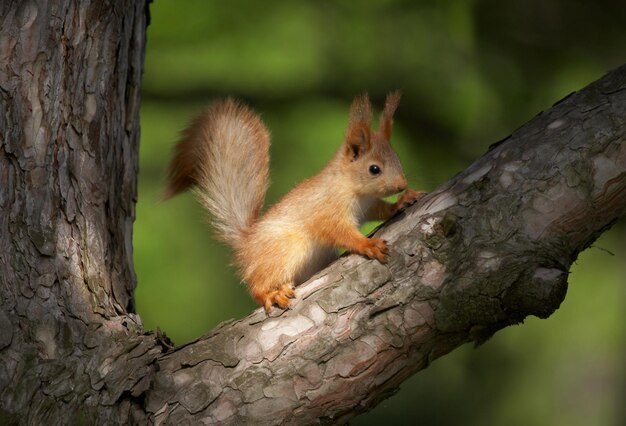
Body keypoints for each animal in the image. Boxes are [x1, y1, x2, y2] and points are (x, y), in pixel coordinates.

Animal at [163, 92, 422, 312]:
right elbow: (340, 232)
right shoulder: (327, 210)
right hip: (289, 247)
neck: (353, 189)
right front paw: (367, 244)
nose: (401, 184)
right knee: (256, 284)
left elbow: (381, 209)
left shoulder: (369, 205)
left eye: (397, 158)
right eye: (374, 169)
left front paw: (402, 201)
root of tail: (247, 245)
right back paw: (270, 294)